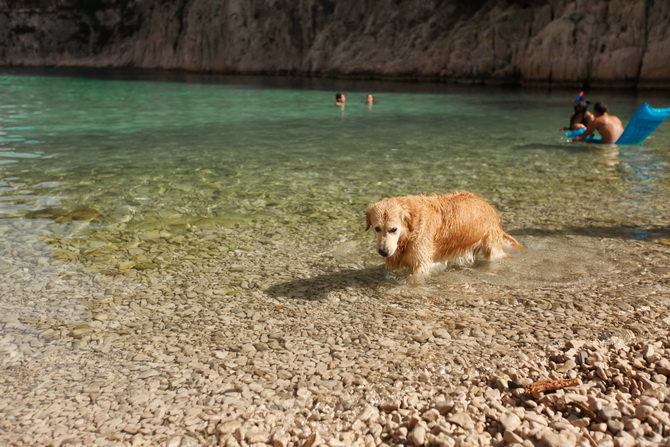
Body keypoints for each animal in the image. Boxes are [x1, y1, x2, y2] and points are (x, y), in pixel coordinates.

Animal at [368, 192, 524, 276]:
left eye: (393, 229)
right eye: (377, 228)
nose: (383, 251)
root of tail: (487, 204)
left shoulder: (420, 263)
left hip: (492, 248)